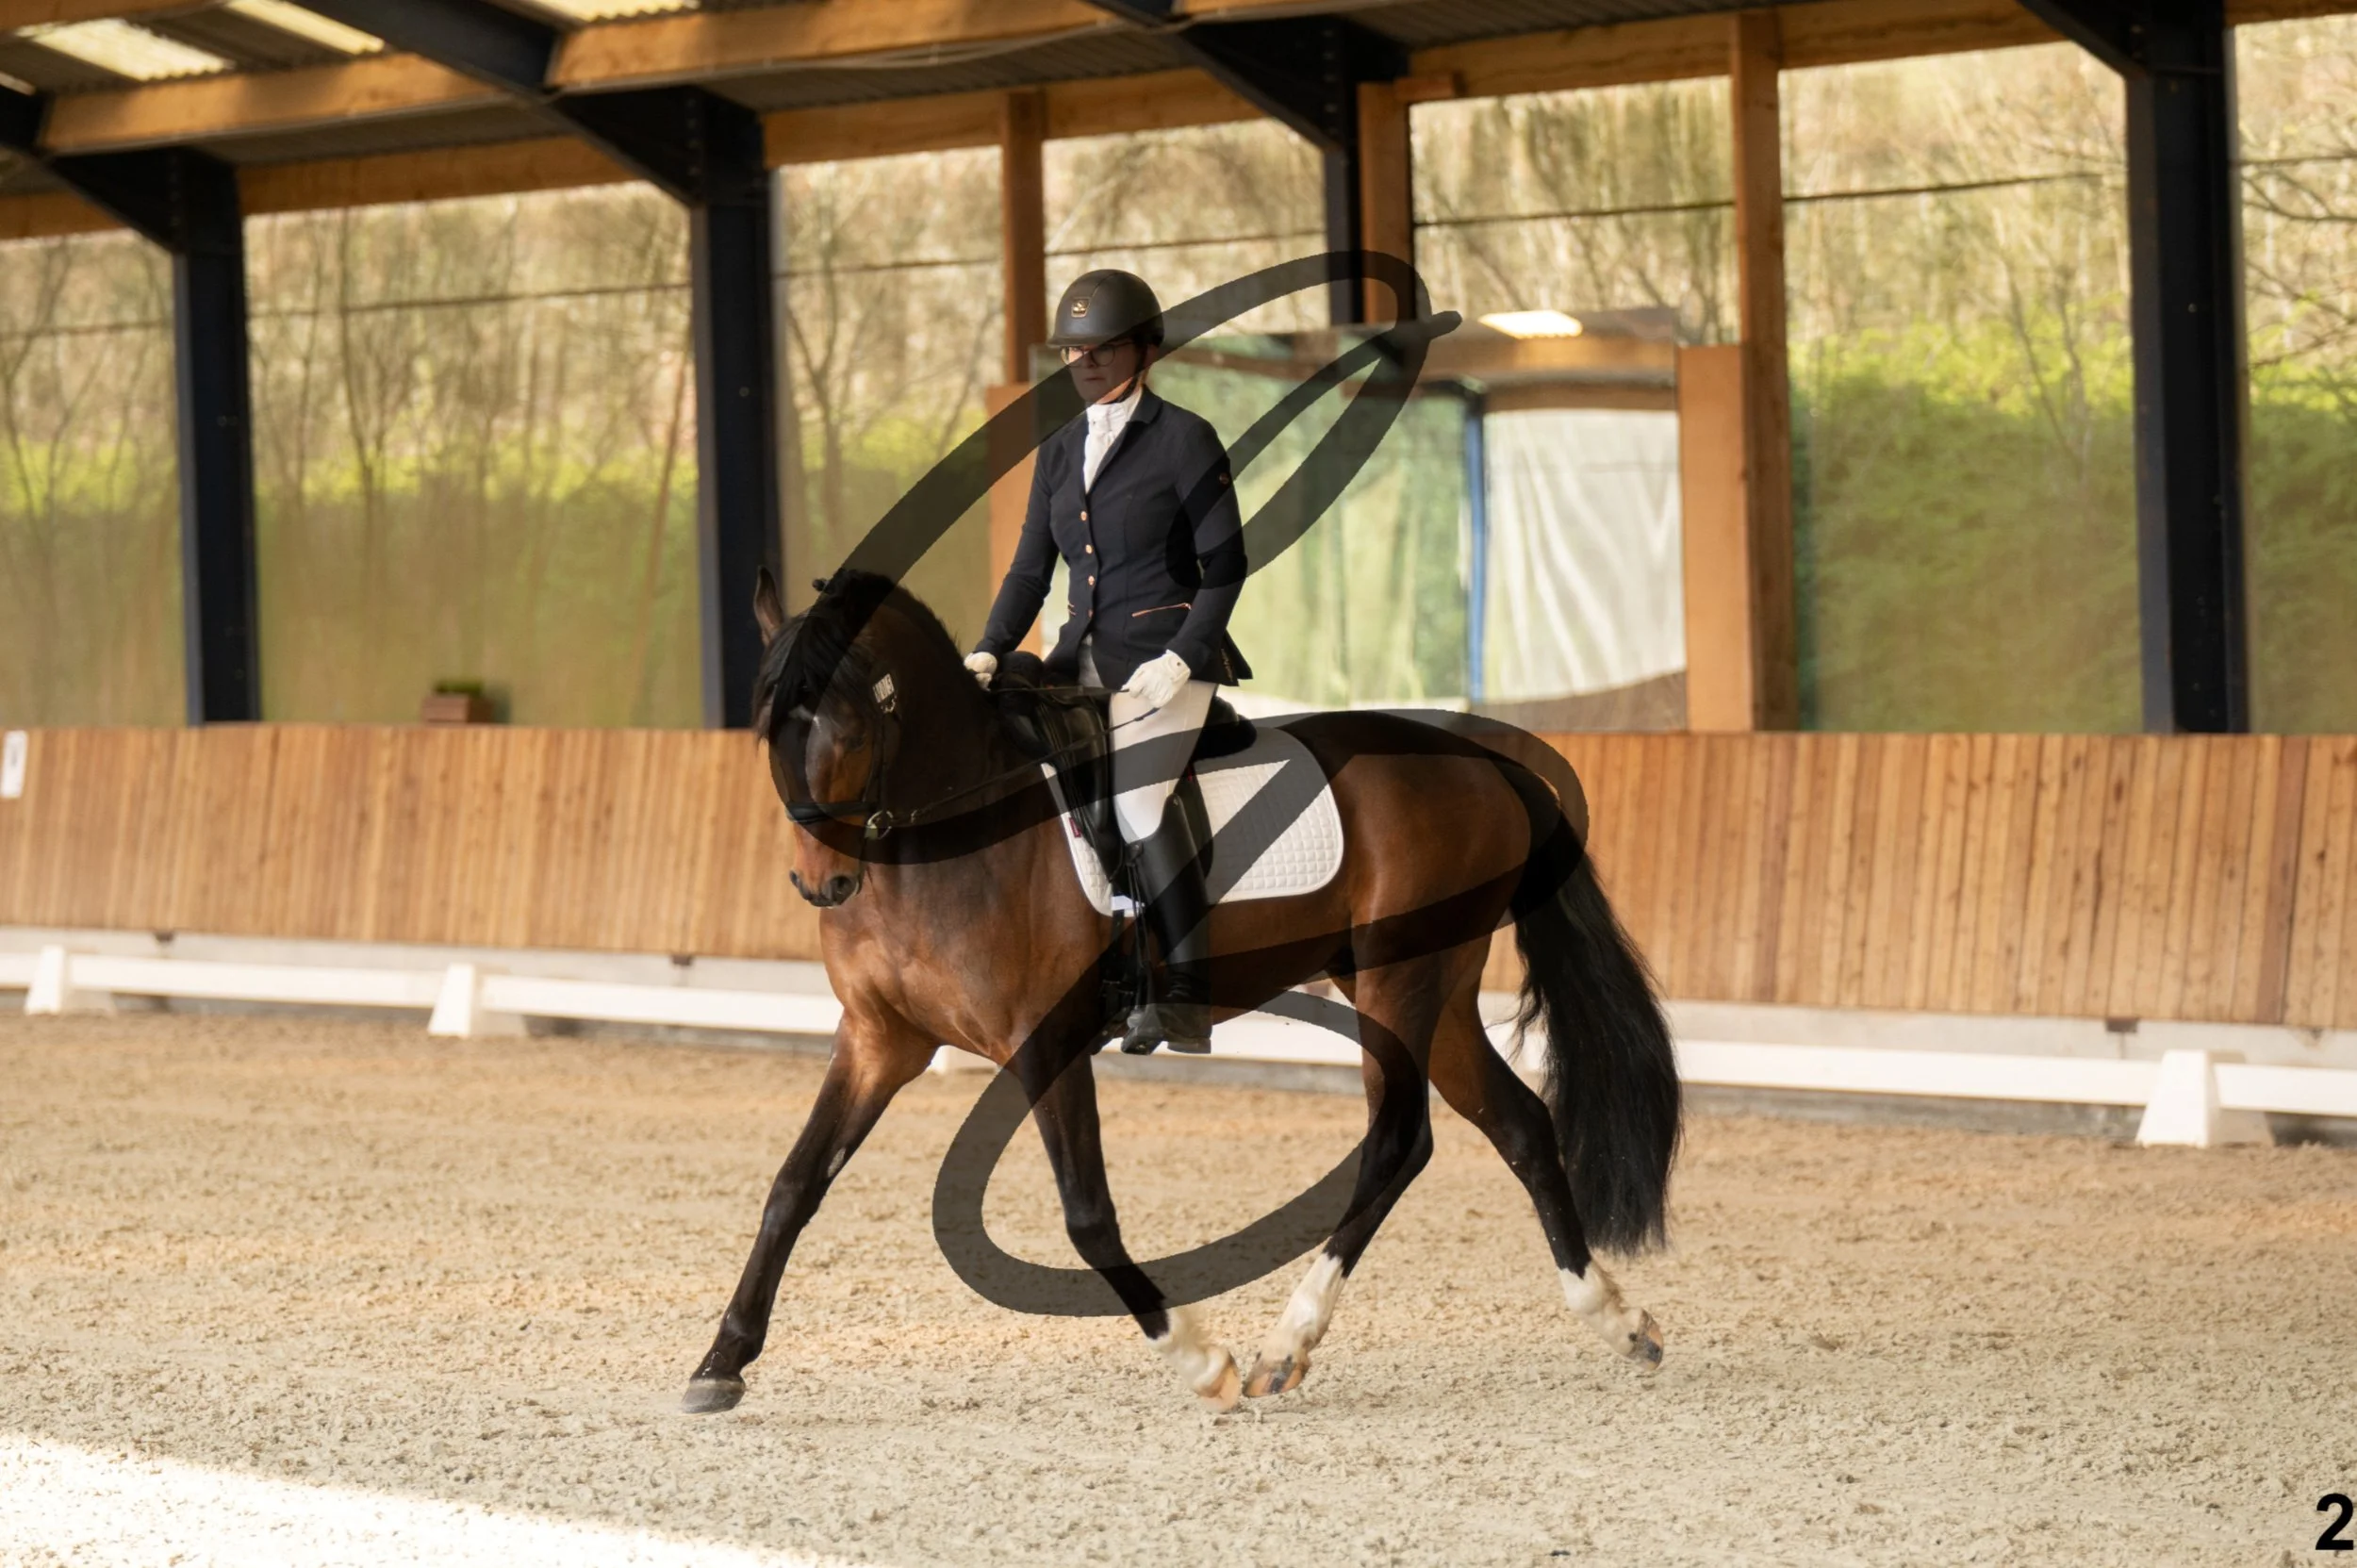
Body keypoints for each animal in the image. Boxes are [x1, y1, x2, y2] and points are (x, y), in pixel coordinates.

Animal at [681, 566, 1681, 1415]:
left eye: (847, 728)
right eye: (768, 731)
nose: (822, 885)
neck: (941, 837)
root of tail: (1478, 760)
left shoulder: (1043, 1042)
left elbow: (1087, 1216)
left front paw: (1201, 1358)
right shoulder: (878, 1040)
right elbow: (793, 1185)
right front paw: (721, 1361)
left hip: (1401, 978)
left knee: (1400, 1142)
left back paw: (1285, 1343)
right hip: (1428, 989)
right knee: (1518, 1122)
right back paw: (1615, 1317)